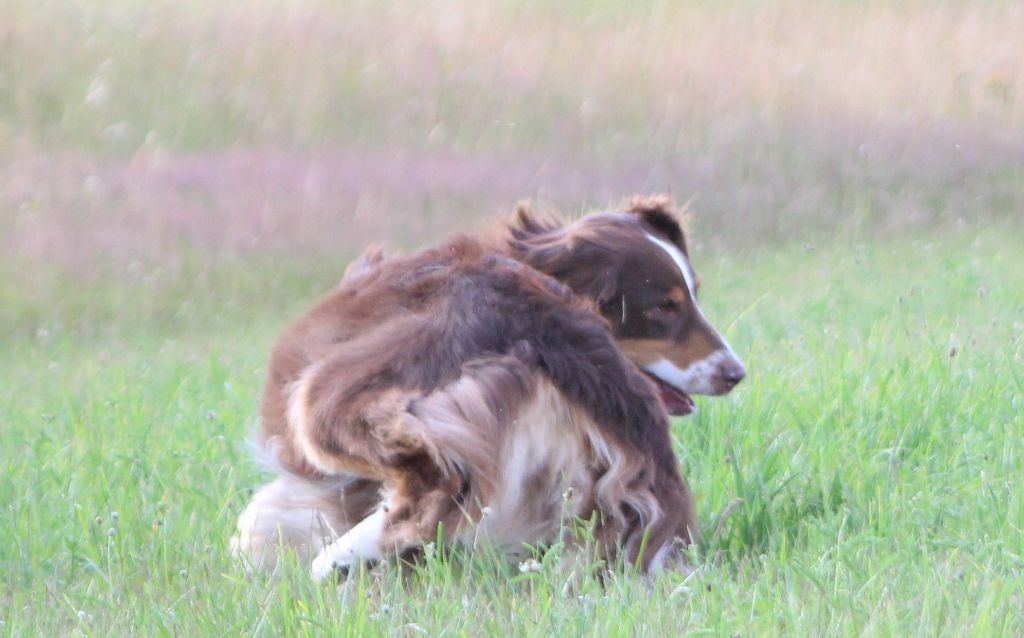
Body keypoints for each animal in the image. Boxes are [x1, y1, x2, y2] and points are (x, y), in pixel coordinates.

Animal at [232, 197, 745, 581]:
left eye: (689, 298)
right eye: (664, 307)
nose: (736, 373)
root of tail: (546, 316)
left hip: (335, 393)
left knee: (430, 485)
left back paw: (337, 560)